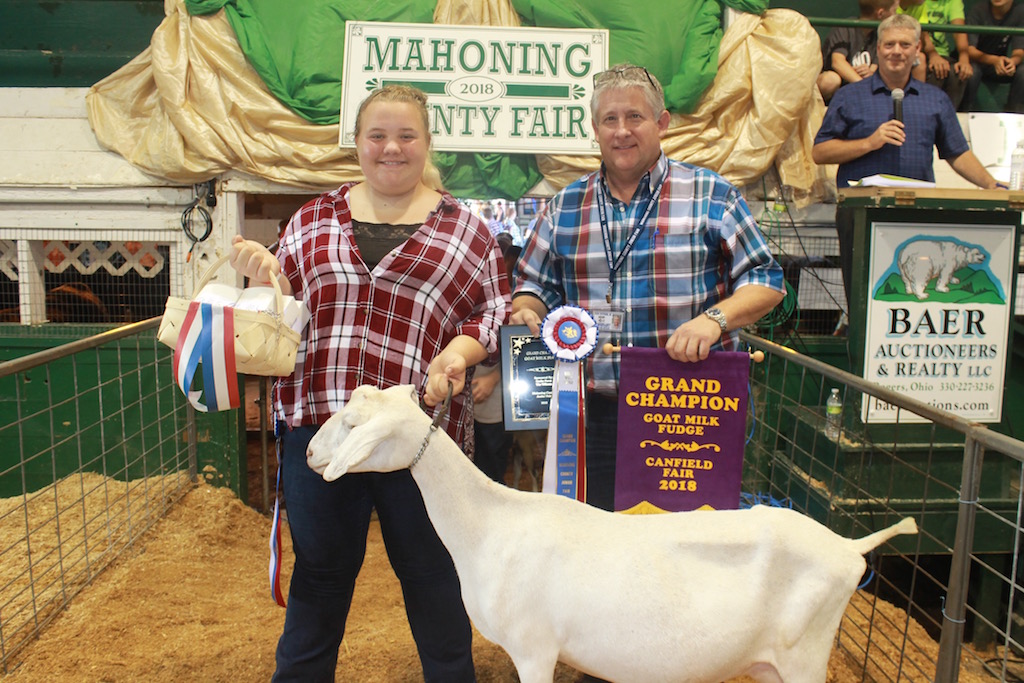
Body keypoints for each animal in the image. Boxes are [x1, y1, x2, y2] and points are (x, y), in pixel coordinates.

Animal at [307, 384, 919, 683]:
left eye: (354, 425)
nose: (310, 452)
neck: (489, 524)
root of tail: (848, 547)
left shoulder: (534, 649)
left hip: (805, 657)